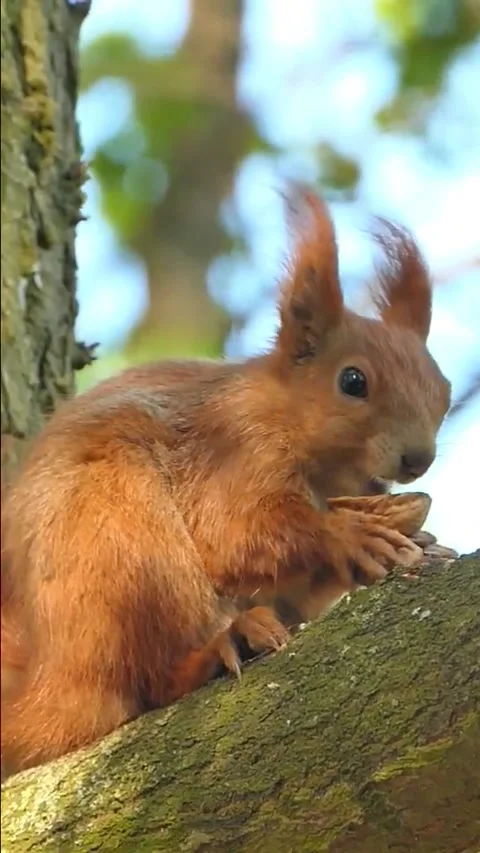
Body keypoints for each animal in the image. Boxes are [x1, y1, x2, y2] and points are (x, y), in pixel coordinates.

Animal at [0, 184, 451, 775]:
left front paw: (418, 538)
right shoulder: (235, 449)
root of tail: (52, 682)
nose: (418, 458)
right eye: (353, 381)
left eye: (444, 390)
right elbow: (233, 535)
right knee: (147, 682)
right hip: (123, 544)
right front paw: (349, 535)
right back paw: (222, 647)